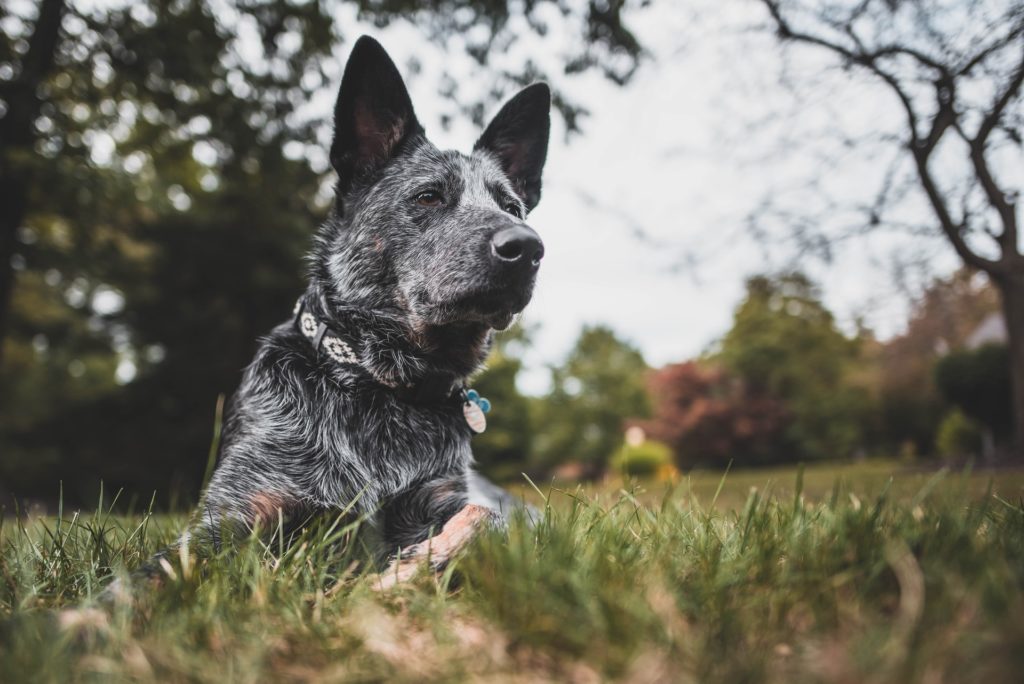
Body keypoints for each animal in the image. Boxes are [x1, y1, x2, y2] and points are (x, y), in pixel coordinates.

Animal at [111, 34, 548, 593]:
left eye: (512, 207)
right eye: (429, 196)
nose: (527, 246)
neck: (379, 387)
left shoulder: (441, 499)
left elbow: (483, 523)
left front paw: (418, 566)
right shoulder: (234, 514)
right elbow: (140, 581)